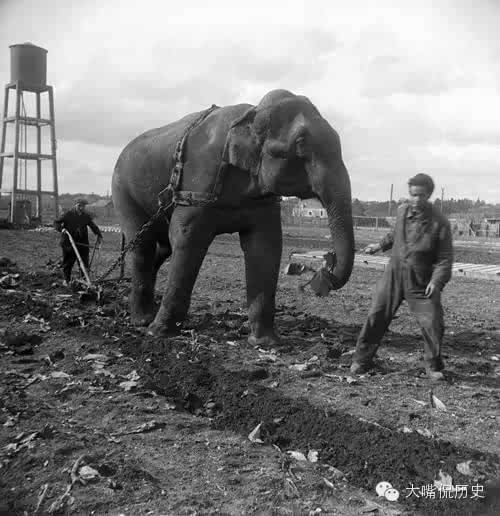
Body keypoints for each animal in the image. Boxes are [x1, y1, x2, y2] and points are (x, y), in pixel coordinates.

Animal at [112, 88, 356, 346]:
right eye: (300, 143)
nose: (326, 268)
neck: (252, 114)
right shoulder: (197, 184)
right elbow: (188, 239)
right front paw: (159, 333)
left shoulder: (263, 201)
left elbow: (265, 246)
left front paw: (266, 343)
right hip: (123, 191)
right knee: (143, 246)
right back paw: (142, 321)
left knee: (162, 248)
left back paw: (148, 313)